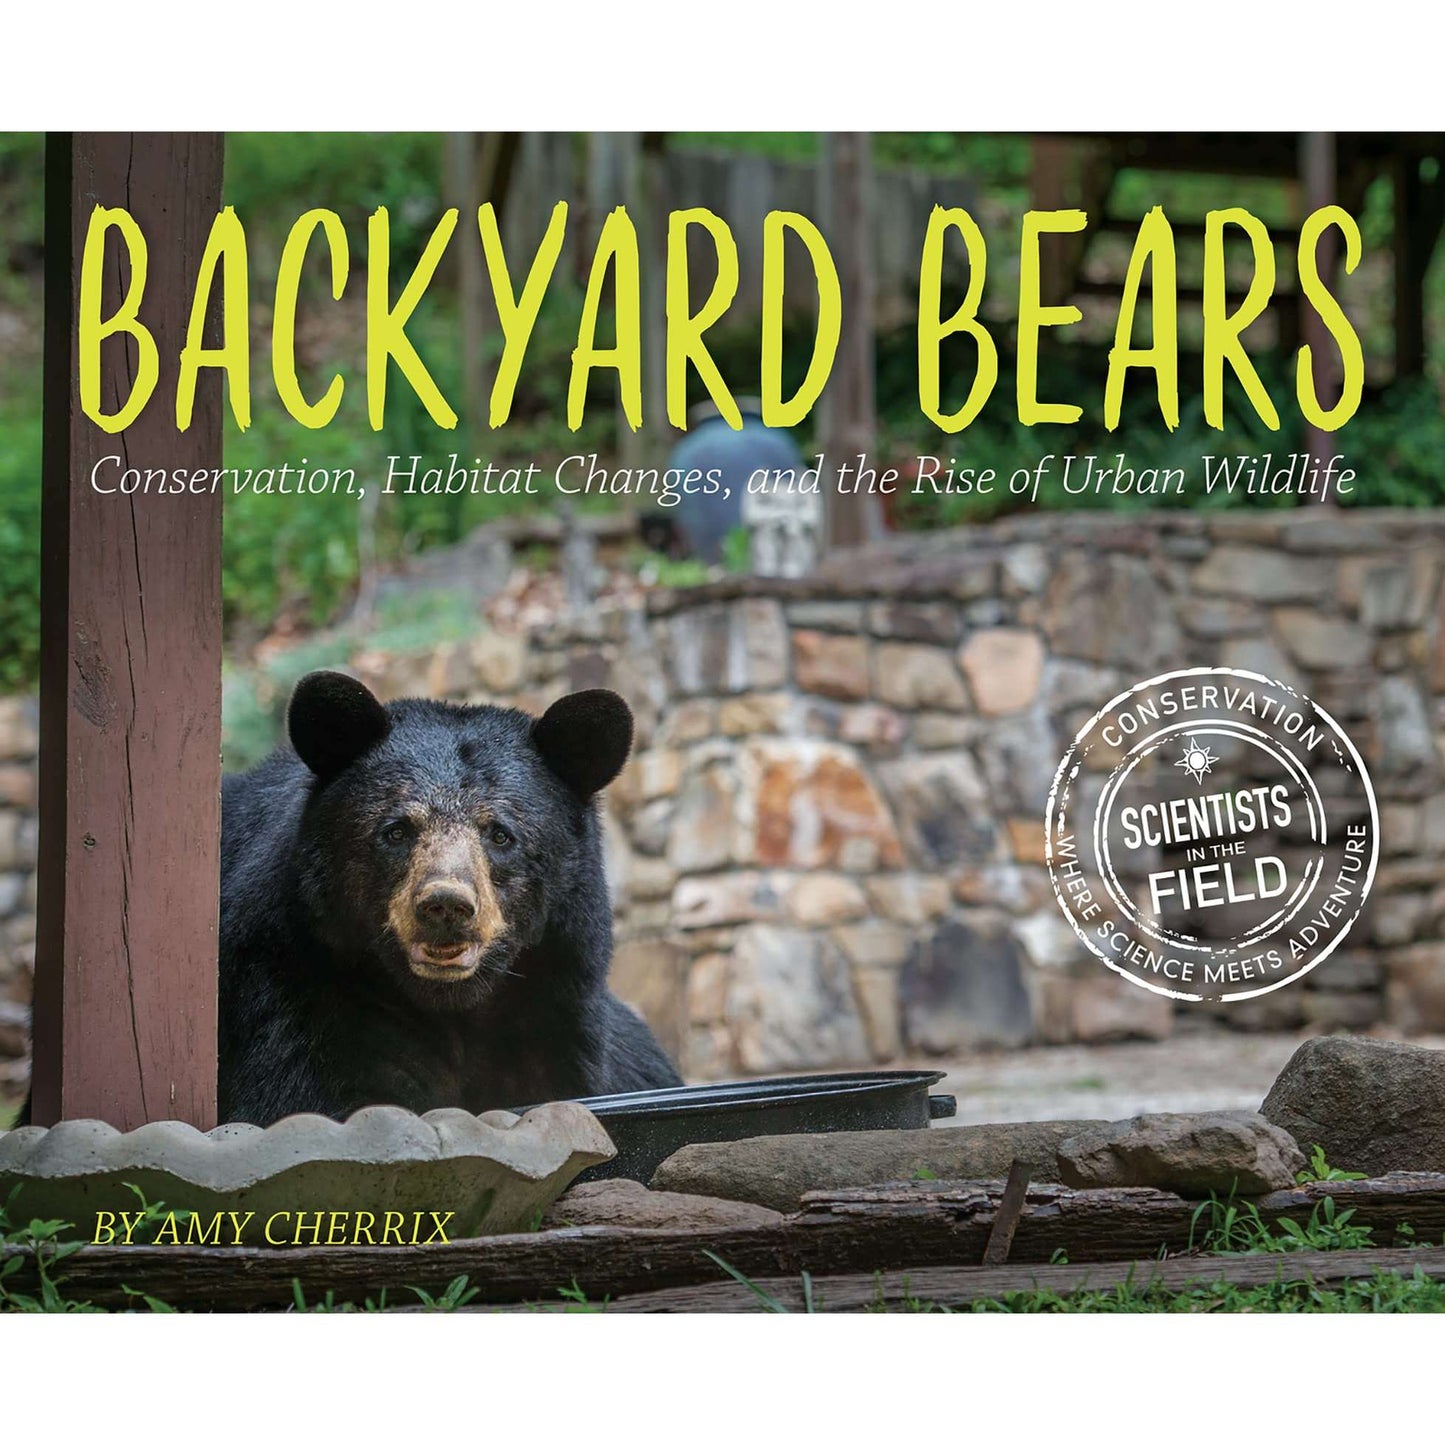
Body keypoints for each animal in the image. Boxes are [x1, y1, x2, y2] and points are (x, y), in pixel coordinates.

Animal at [217, 670, 682, 1126]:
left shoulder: (554, 1006)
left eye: (500, 834)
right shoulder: (299, 987)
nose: (446, 905)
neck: (452, 1005)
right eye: (397, 830)